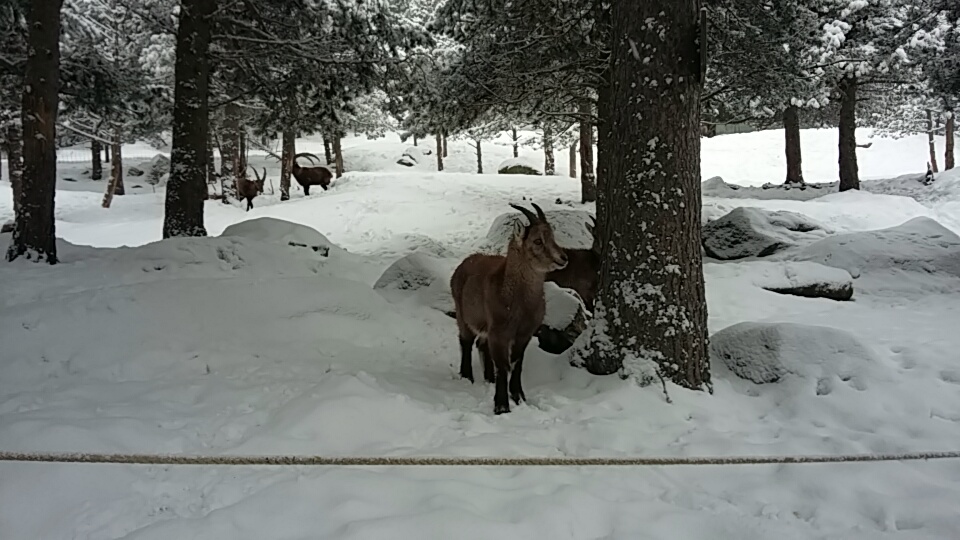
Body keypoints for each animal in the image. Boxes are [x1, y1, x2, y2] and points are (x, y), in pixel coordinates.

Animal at [450, 202, 568, 414]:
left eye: (552, 237)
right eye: (538, 240)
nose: (563, 258)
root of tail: (462, 265)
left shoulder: (524, 332)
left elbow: (516, 363)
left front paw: (519, 397)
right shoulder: (500, 331)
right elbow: (503, 365)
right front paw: (502, 406)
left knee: (481, 344)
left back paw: (488, 378)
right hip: (463, 314)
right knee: (466, 341)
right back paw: (467, 376)